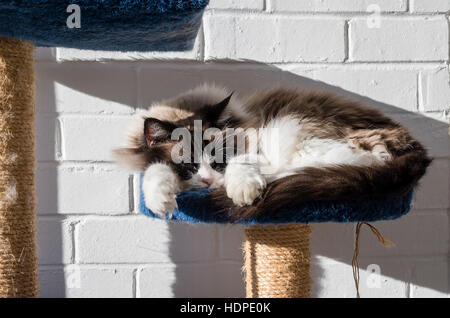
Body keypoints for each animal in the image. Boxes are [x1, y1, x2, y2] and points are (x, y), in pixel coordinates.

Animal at [115, 83, 432, 220]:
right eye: (189, 166)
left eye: (218, 159)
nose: (207, 181)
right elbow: (155, 170)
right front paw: (161, 202)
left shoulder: (254, 146)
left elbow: (241, 166)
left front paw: (242, 191)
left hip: (291, 130)